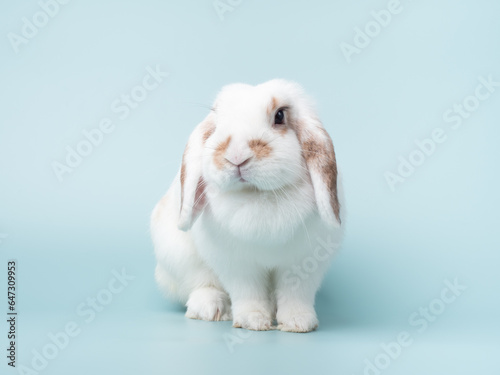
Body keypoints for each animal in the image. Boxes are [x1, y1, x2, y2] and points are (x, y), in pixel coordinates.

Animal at [151, 78, 344, 332]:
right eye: (217, 119)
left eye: (279, 116)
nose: (236, 157)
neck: (258, 196)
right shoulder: (237, 265)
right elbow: (247, 292)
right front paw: (252, 321)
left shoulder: (303, 262)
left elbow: (296, 293)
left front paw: (298, 323)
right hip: (178, 256)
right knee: (199, 283)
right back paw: (210, 308)